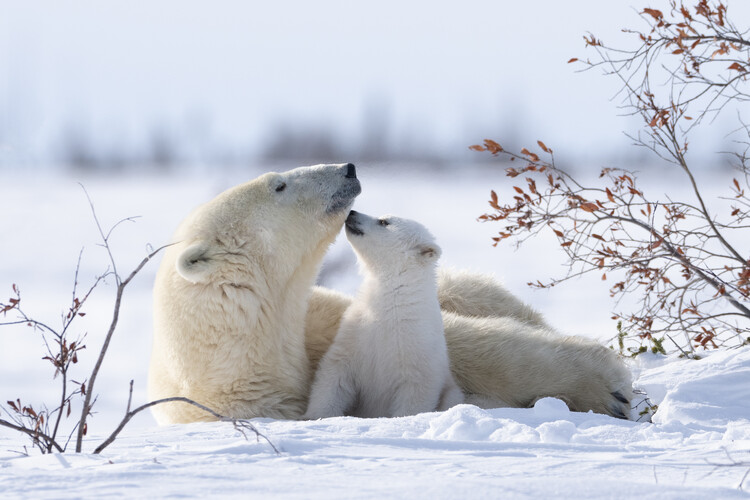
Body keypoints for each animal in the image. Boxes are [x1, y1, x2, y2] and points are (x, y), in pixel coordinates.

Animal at [304, 211, 464, 419]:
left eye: (384, 222)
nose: (352, 213)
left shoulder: (417, 346)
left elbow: (416, 390)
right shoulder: (355, 333)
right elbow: (336, 373)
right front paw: (316, 416)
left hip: (452, 391)